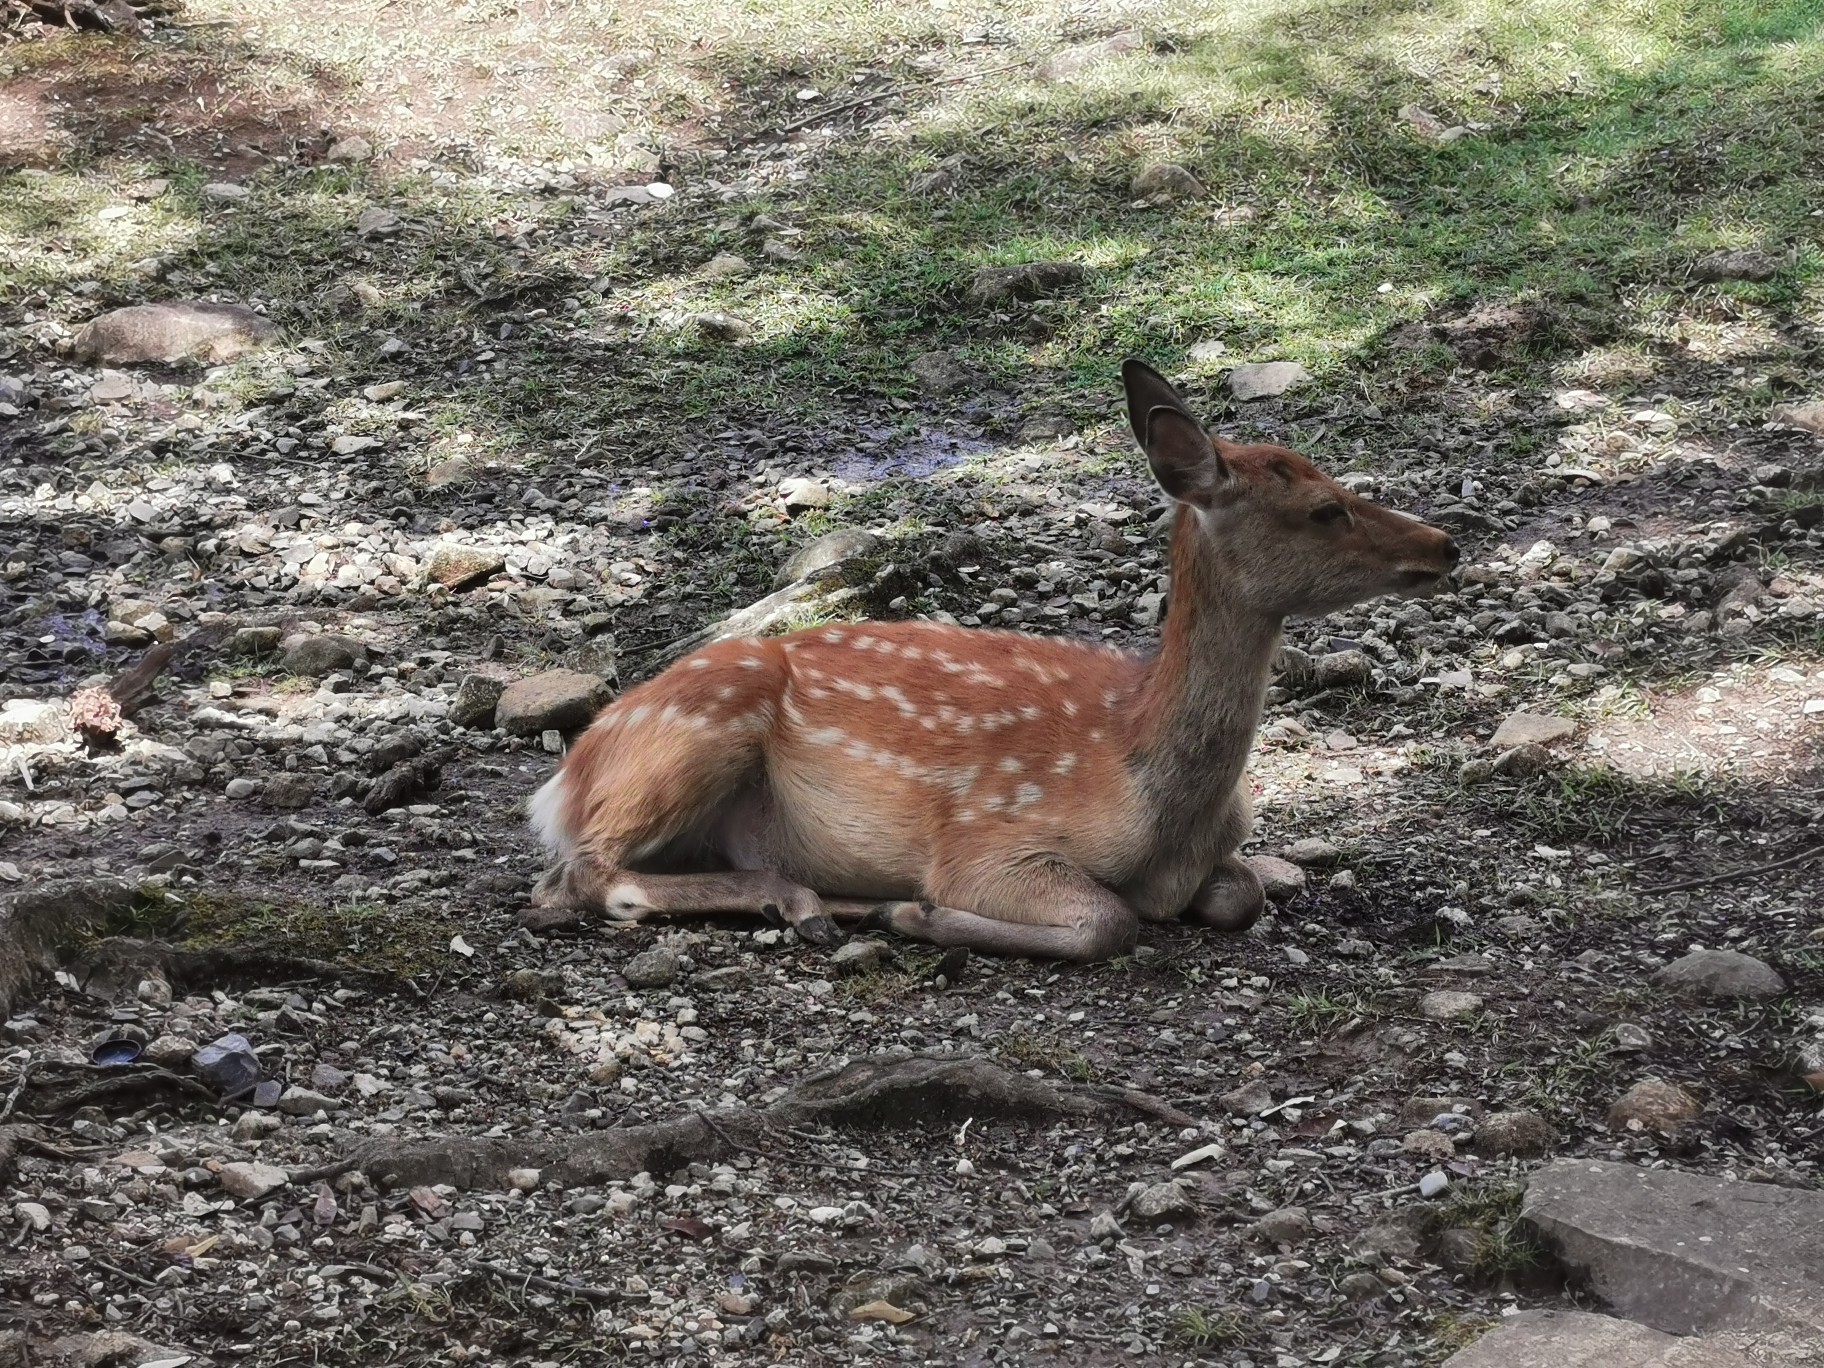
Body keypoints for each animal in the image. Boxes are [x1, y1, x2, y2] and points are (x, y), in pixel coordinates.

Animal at [525, 364, 1451, 963]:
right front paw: (919, 915)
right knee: (580, 877)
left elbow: (1242, 892)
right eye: (1323, 509)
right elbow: (1107, 920)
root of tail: (561, 783)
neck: (1156, 796)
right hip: (698, 731)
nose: (1444, 541)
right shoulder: (991, 838)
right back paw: (814, 902)